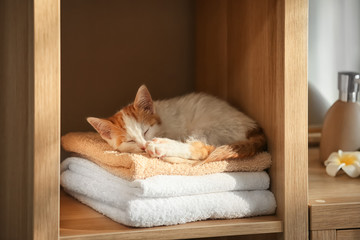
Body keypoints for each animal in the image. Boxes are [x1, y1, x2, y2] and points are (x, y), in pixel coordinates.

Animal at [87, 85, 266, 165]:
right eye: (130, 140)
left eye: (146, 131)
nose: (144, 146)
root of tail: (253, 126)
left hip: (214, 129)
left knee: (201, 149)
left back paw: (162, 146)